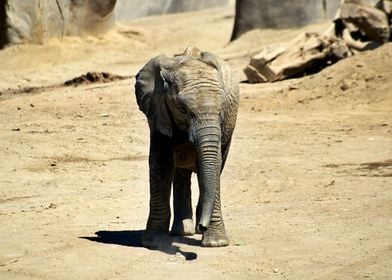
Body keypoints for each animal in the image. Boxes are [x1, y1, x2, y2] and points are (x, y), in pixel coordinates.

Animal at [134, 46, 239, 249]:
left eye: (222, 110)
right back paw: (184, 231)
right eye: (182, 110)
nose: (202, 226)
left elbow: (214, 164)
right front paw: (154, 242)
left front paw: (216, 243)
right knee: (181, 173)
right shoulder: (158, 111)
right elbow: (160, 163)